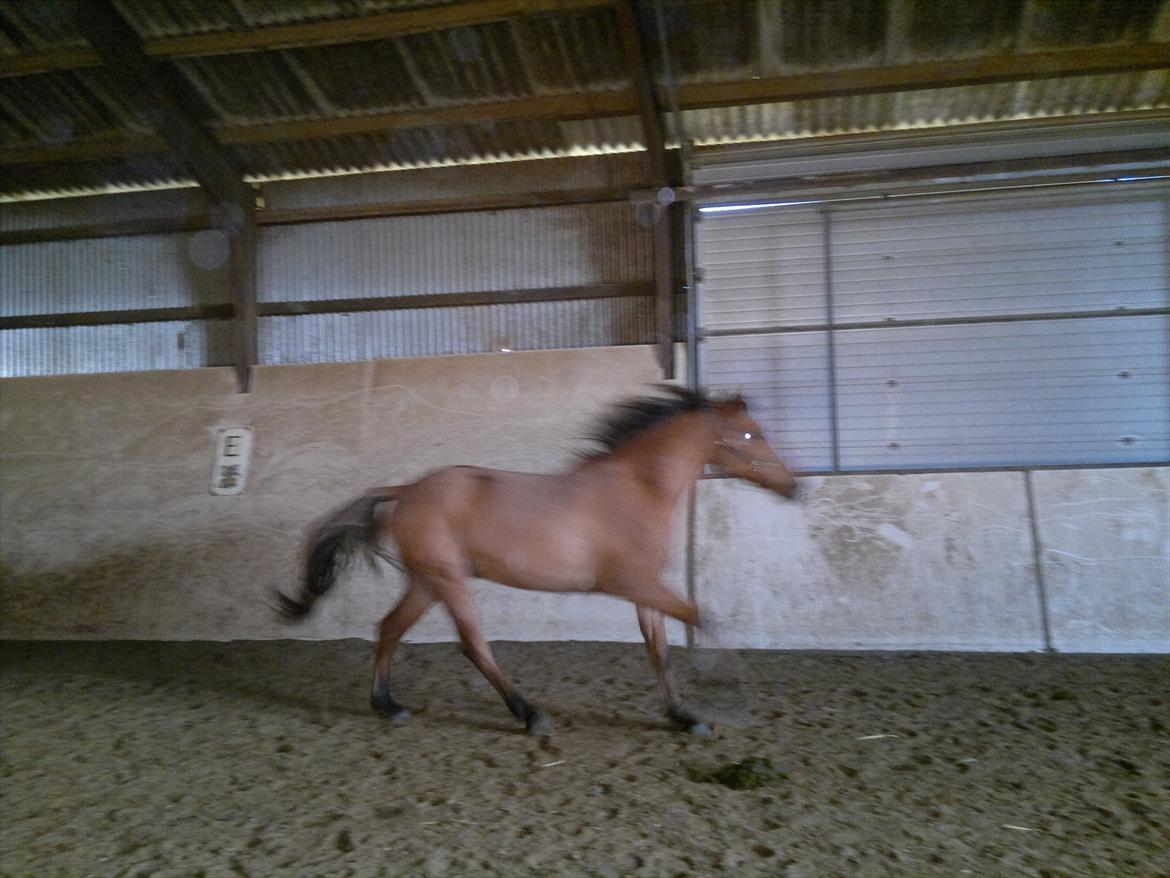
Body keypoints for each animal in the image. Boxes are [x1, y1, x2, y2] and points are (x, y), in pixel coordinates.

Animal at [276, 386, 798, 735]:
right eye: (749, 433)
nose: (792, 487)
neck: (637, 488)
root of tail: (405, 491)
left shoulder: (645, 590)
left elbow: (660, 651)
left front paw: (684, 716)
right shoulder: (637, 584)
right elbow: (705, 620)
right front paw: (733, 698)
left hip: (426, 581)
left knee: (388, 629)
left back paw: (387, 704)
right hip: (448, 582)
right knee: (472, 644)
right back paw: (529, 714)